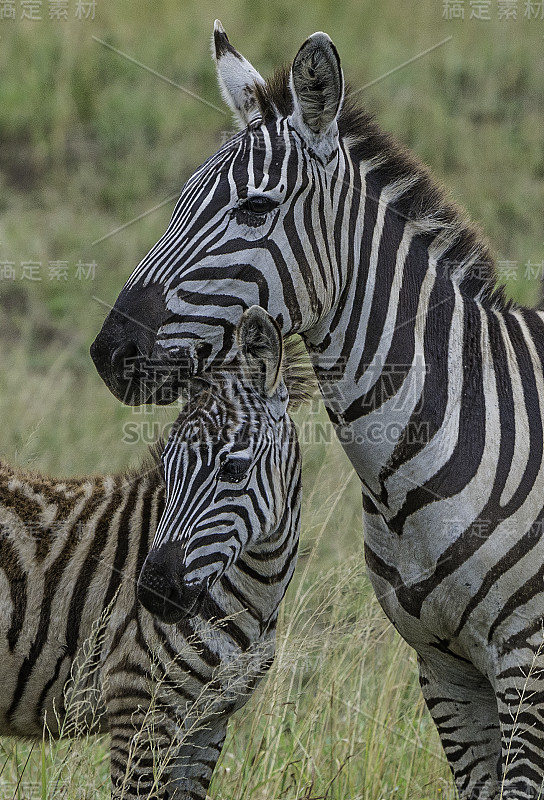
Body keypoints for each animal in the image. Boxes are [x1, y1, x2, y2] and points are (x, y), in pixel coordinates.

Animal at [1, 308, 306, 800]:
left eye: (234, 467)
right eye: (166, 467)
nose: (153, 591)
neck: (258, 593)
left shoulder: (206, 724)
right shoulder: (139, 708)